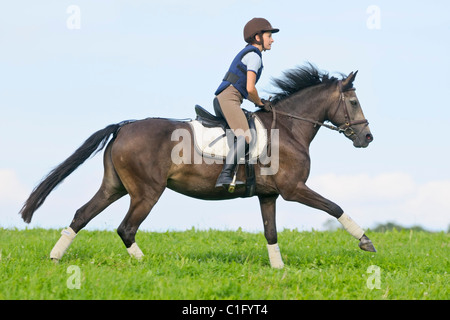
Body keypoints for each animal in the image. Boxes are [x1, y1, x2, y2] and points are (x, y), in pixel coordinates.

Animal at [19, 64, 374, 268]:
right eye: (354, 102)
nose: (367, 137)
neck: (288, 127)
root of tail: (124, 126)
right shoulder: (293, 189)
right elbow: (334, 207)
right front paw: (366, 241)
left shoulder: (269, 195)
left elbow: (270, 232)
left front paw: (278, 270)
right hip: (147, 192)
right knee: (126, 228)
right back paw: (145, 265)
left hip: (114, 186)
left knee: (82, 215)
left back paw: (55, 258)